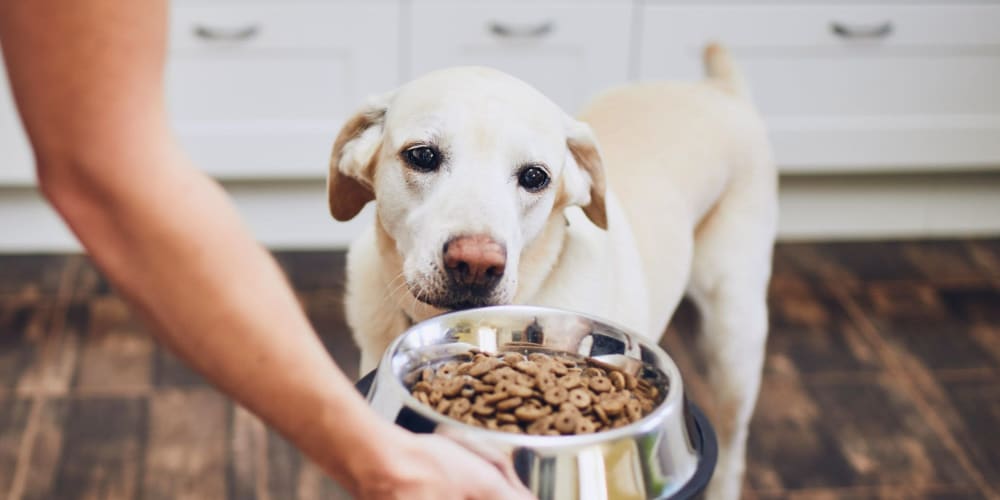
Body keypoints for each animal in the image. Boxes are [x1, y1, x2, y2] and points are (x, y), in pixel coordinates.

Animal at [326, 45, 772, 498]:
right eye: (421, 155)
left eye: (535, 177)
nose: (476, 264)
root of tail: (719, 89)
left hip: (734, 338)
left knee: (733, 448)